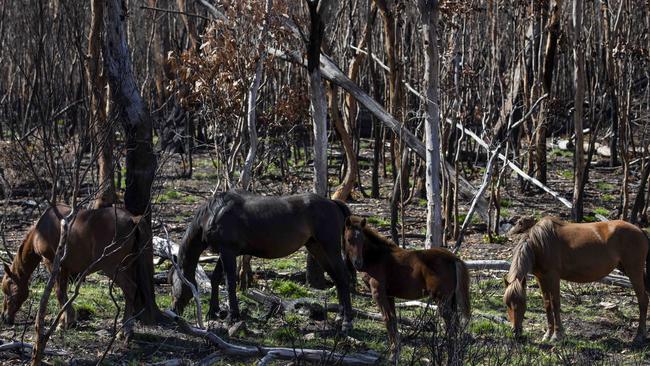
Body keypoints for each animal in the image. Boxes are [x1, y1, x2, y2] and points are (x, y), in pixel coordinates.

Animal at [0, 203, 146, 338]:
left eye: (7, 291)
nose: (4, 317)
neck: (40, 231)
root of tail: (132, 219)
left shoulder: (52, 263)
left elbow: (59, 292)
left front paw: (66, 322)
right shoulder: (65, 267)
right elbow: (62, 292)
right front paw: (65, 321)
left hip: (111, 267)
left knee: (130, 288)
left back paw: (125, 330)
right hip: (128, 265)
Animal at [342, 214, 468, 360]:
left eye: (362, 240)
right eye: (349, 239)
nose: (358, 263)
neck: (377, 257)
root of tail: (453, 258)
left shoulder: (378, 293)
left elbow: (387, 319)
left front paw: (393, 355)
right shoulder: (389, 295)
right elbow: (393, 320)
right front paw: (396, 352)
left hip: (442, 300)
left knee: (451, 326)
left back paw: (451, 357)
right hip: (451, 300)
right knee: (456, 325)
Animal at [502, 216, 648, 342]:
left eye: (522, 302)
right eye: (507, 303)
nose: (515, 332)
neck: (539, 245)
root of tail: (640, 230)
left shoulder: (553, 277)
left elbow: (555, 304)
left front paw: (557, 335)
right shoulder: (541, 278)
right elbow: (547, 304)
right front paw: (548, 334)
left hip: (634, 272)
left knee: (643, 300)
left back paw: (639, 335)